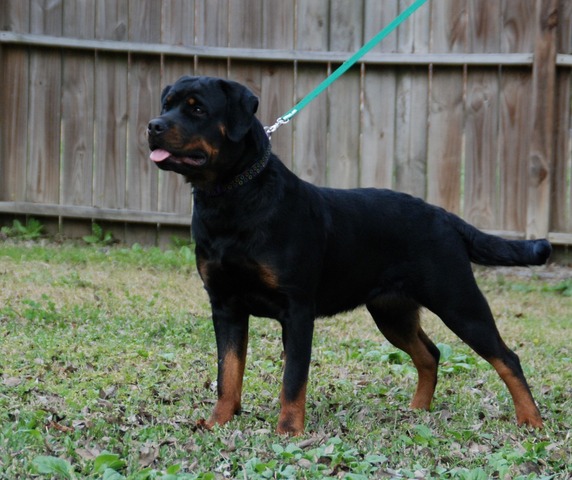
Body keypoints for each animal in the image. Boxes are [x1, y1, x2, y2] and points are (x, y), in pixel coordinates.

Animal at [147, 76, 548, 436]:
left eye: (197, 108)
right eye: (166, 104)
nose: (153, 125)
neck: (232, 197)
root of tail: (443, 215)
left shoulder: (297, 310)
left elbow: (293, 378)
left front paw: (288, 431)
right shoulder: (225, 305)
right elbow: (227, 371)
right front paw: (218, 421)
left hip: (458, 301)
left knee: (506, 357)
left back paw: (531, 420)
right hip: (392, 311)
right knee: (429, 354)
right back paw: (418, 410)